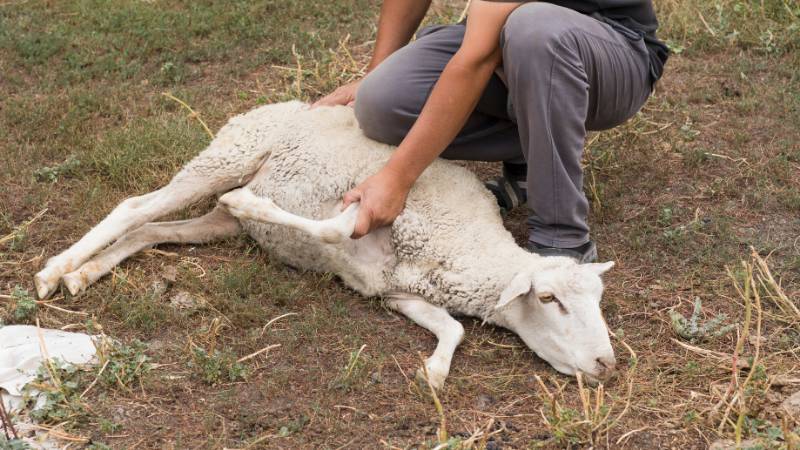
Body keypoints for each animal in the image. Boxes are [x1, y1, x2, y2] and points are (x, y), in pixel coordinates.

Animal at [32, 100, 620, 388]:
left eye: (597, 301)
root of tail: (279, 104)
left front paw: (434, 371)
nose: (607, 364)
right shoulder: (367, 210)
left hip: (216, 219)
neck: (463, 243)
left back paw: (84, 273)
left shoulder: (394, 290)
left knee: (151, 230)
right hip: (226, 156)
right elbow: (332, 230)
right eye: (549, 299)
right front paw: (254, 203)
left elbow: (451, 328)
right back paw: (55, 270)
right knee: (136, 207)